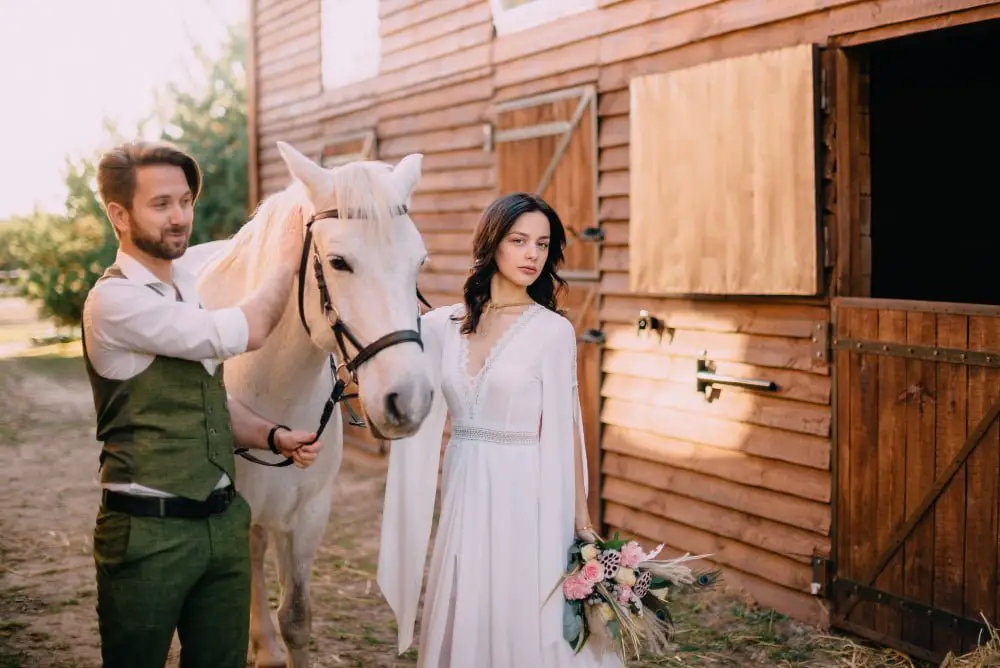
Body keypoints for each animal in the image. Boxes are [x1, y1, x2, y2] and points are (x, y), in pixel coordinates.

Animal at [181, 142, 438, 668]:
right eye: (338, 262)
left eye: (419, 261)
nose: (410, 398)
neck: (270, 386)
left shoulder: (310, 515)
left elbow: (296, 620)